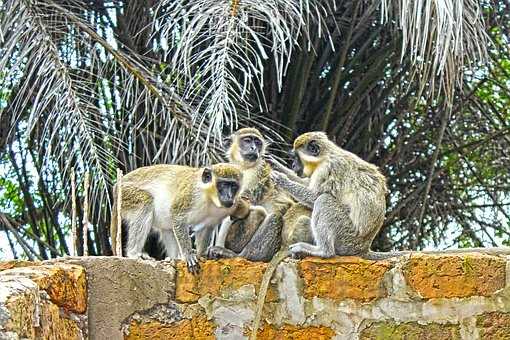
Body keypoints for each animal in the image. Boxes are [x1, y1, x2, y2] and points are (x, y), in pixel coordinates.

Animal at [110, 163, 246, 274]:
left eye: (233, 186)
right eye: (223, 185)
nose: (229, 196)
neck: (209, 198)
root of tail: (117, 186)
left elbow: (206, 228)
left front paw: (201, 254)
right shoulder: (191, 194)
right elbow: (178, 216)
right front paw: (188, 255)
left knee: (167, 229)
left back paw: (174, 258)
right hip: (125, 194)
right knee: (145, 202)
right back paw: (133, 254)